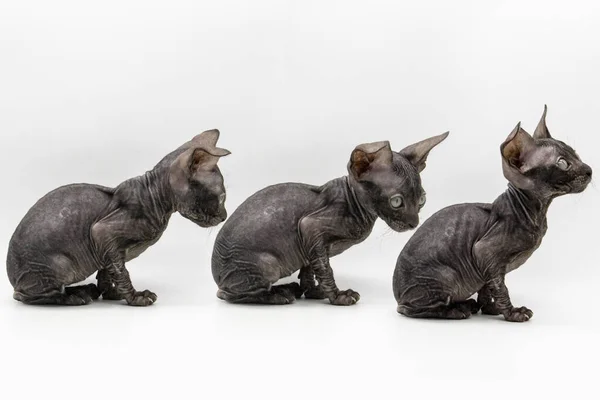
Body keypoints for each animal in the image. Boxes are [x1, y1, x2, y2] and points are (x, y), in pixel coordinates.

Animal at [7, 130, 232, 304]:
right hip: (61, 265)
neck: (154, 198)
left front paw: (112, 294)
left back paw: (85, 290)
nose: (224, 217)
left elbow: (108, 271)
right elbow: (120, 270)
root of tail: (13, 278)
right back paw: (74, 296)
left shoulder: (107, 247)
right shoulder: (101, 232)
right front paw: (135, 298)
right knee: (26, 296)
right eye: (222, 196)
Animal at [213, 134, 448, 306]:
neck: (356, 207)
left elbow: (311, 267)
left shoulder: (307, 243)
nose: (413, 223)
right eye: (397, 201)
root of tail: (217, 273)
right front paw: (337, 296)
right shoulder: (309, 226)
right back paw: (278, 295)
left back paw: (288, 289)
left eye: (422, 200)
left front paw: (312, 291)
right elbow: (325, 268)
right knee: (227, 294)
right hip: (268, 264)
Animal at [392, 107, 592, 322]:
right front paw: (513, 313)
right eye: (563, 163)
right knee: (408, 309)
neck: (535, 214)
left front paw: (489, 308)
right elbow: (501, 288)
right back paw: (455, 309)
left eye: (576, 154)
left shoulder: (484, 267)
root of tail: (398, 294)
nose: (589, 170)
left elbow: (488, 287)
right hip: (445, 275)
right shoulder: (484, 252)